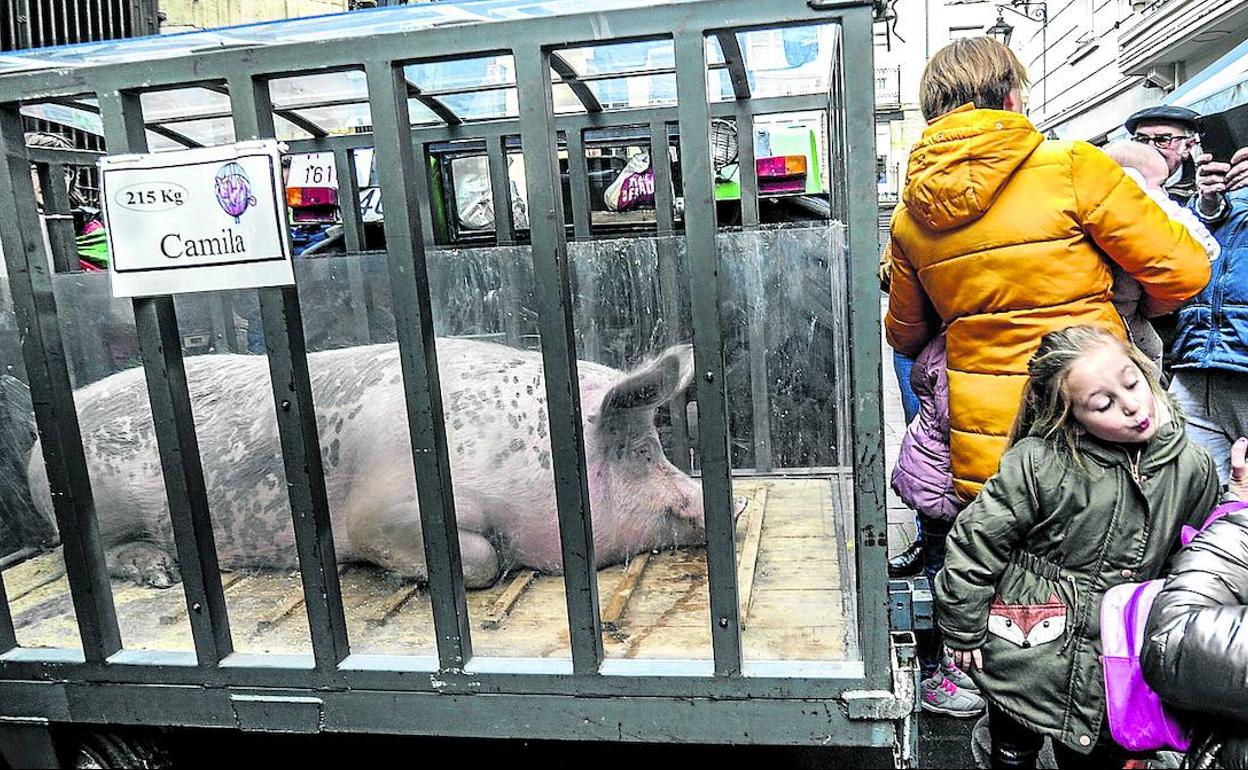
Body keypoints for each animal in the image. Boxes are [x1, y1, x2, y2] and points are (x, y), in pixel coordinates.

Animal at [26, 336, 703, 589]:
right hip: (96, 508)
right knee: (87, 553)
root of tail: (34, 447)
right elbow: (481, 559)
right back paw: (160, 572)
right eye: (643, 452)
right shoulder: (380, 511)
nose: (712, 497)